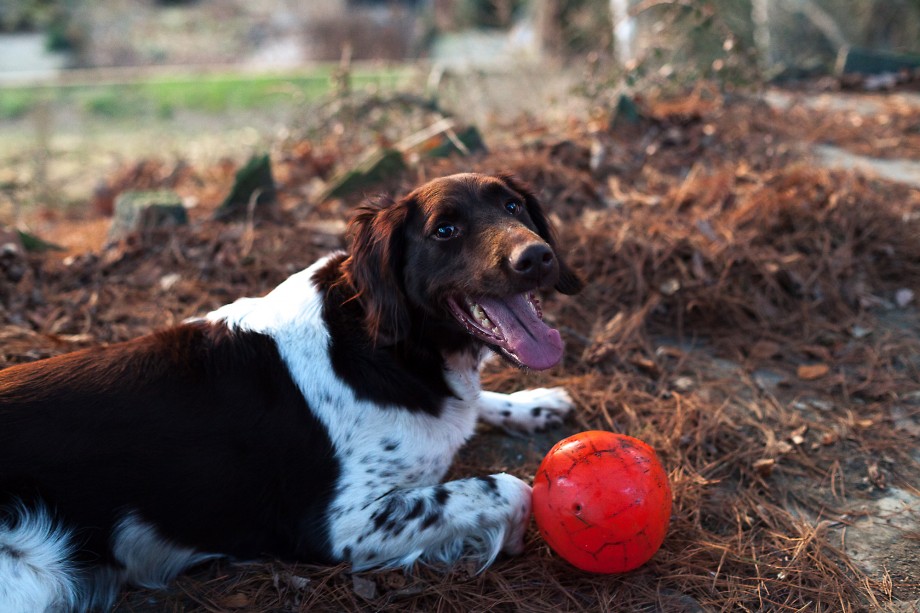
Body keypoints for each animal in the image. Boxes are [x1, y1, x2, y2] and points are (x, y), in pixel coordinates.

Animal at [0, 171, 584, 608]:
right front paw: (510, 537)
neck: (384, 348)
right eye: (445, 230)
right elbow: (511, 488)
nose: (537, 258)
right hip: (36, 572)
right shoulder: (341, 526)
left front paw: (533, 403)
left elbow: (478, 406)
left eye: (512, 206)